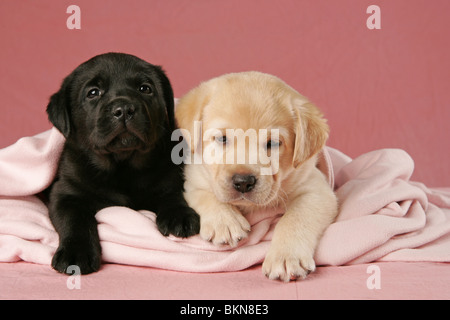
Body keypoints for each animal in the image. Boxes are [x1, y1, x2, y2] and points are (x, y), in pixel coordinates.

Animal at [46, 53, 200, 276]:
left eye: (145, 88)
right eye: (93, 93)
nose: (125, 109)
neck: (122, 166)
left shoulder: (170, 178)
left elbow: (172, 194)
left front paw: (179, 216)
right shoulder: (65, 194)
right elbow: (74, 219)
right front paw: (76, 254)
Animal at [176, 72, 338, 280]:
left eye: (273, 143)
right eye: (222, 138)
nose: (243, 182)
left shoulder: (316, 189)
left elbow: (296, 218)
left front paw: (286, 257)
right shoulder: (193, 177)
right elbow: (205, 194)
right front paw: (225, 221)